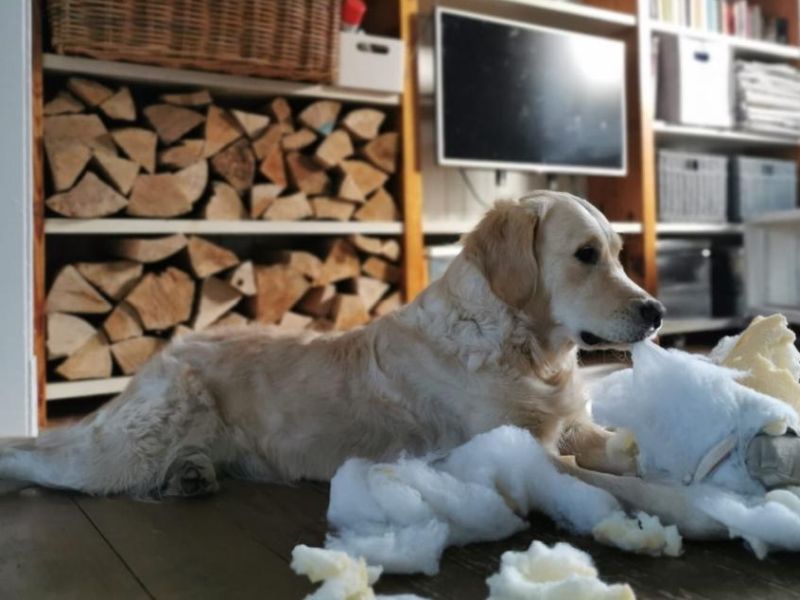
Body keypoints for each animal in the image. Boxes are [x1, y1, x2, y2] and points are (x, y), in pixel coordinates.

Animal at [0, 191, 663, 497]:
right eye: (585, 255)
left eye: (618, 254)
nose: (656, 313)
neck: (527, 352)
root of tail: (163, 354)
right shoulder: (517, 447)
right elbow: (620, 486)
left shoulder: (572, 425)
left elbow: (617, 447)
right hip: (121, 453)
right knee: (35, 456)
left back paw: (191, 475)